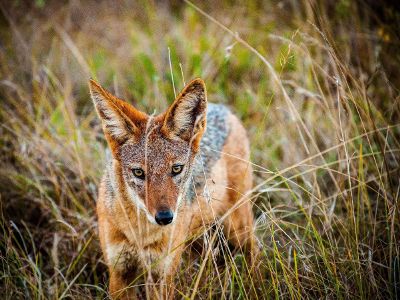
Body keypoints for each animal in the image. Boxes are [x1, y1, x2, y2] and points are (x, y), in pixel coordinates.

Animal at [90, 78, 260, 298]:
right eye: (139, 172)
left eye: (176, 169)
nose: (165, 217)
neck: (141, 235)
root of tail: (223, 109)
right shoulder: (119, 272)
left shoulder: (162, 275)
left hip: (237, 228)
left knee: (255, 250)